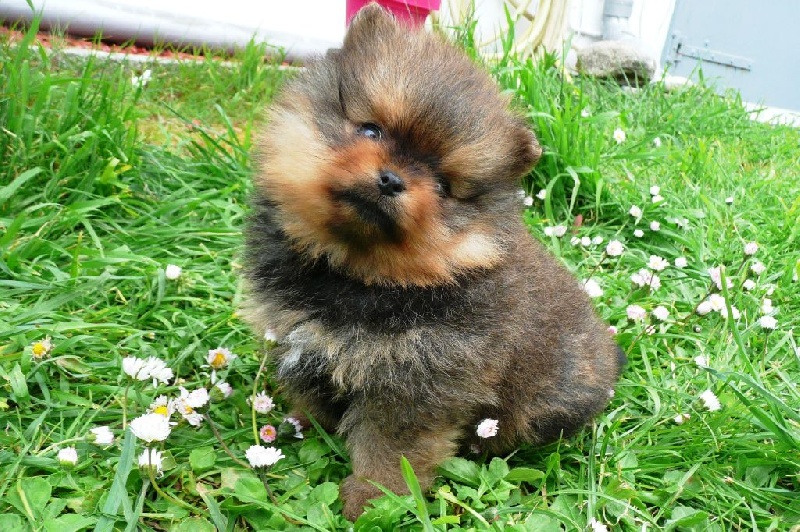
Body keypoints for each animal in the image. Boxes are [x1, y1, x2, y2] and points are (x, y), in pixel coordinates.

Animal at [243, 3, 624, 520]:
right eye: (370, 129)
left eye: (443, 185)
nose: (391, 179)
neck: (359, 275)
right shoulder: (299, 341)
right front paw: (303, 425)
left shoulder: (417, 383)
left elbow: (393, 448)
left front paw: (374, 498)